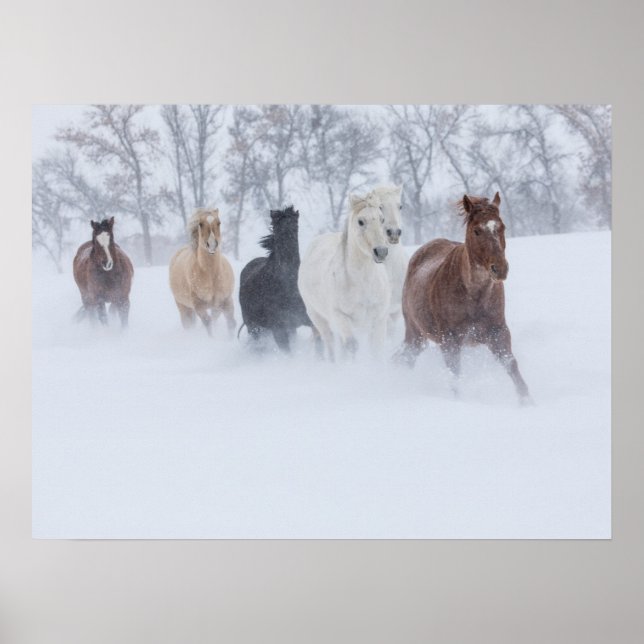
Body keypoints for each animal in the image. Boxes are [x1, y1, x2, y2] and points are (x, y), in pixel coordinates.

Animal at [168, 208, 236, 337]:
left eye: (219, 223)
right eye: (200, 224)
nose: (212, 245)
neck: (211, 276)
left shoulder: (225, 301)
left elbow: (230, 323)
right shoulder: (198, 306)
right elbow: (207, 323)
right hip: (184, 307)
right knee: (188, 324)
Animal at [238, 206, 311, 352]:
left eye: (295, 224)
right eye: (277, 226)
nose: (287, 245)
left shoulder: (304, 321)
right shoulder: (279, 330)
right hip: (254, 328)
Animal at [298, 193, 391, 361]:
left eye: (382, 219)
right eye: (361, 221)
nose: (381, 251)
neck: (362, 283)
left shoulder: (379, 319)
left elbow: (377, 351)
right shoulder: (340, 316)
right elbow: (352, 346)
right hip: (318, 317)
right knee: (330, 342)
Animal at [399, 192, 531, 404]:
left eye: (502, 227)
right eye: (476, 230)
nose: (500, 269)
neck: (474, 295)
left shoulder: (498, 332)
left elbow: (511, 365)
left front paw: (527, 401)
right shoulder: (450, 340)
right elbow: (455, 376)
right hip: (415, 333)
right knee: (405, 358)